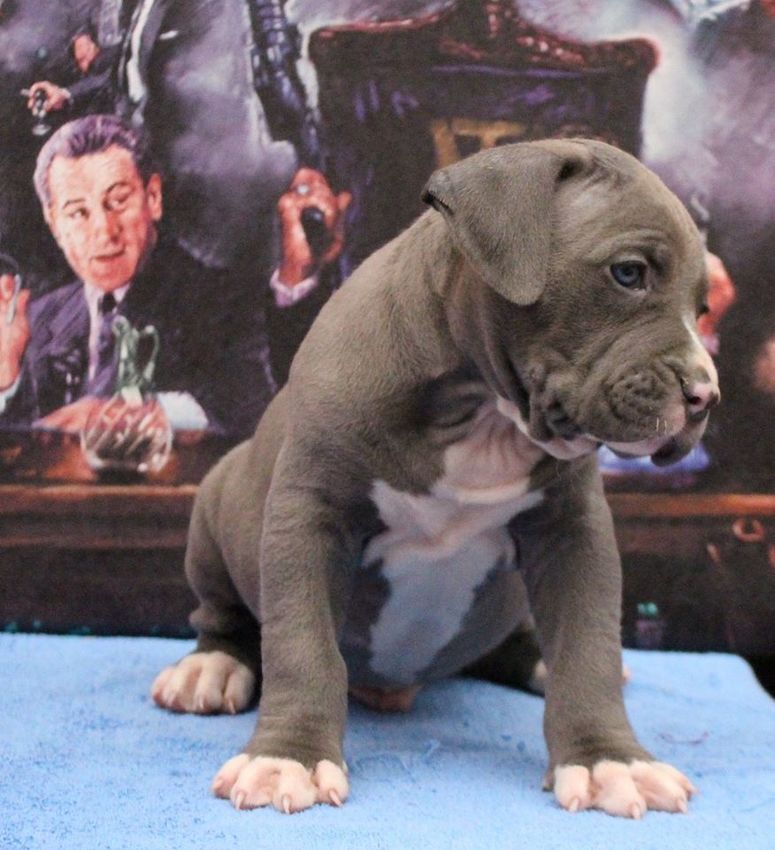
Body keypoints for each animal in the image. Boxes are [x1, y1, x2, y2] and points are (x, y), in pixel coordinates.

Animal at [151, 139, 718, 818]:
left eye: (702, 307)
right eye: (629, 273)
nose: (706, 394)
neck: (482, 415)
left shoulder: (572, 531)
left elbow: (589, 647)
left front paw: (612, 762)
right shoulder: (309, 517)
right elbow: (301, 643)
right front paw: (289, 758)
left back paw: (540, 661)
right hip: (215, 506)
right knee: (222, 612)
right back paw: (211, 666)